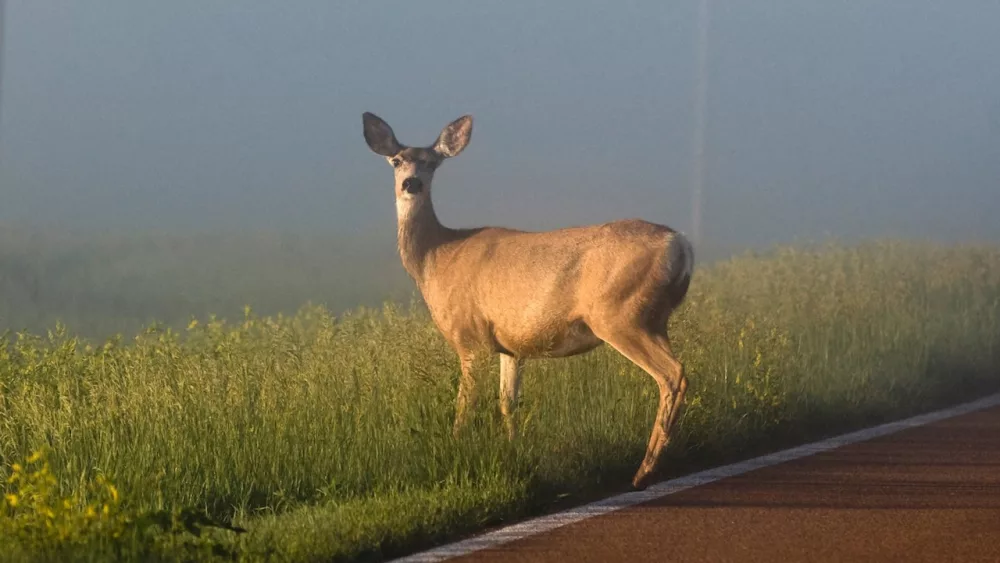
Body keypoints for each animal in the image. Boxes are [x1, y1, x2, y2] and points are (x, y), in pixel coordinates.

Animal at [360, 112, 696, 492]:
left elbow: (465, 404)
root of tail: (680, 244)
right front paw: (514, 451)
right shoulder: (510, 346)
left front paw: (455, 446)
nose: (412, 183)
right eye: (397, 160)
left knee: (672, 374)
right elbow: (508, 403)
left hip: (620, 314)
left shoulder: (470, 337)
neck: (437, 257)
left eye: (432, 162)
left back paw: (644, 470)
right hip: (654, 318)